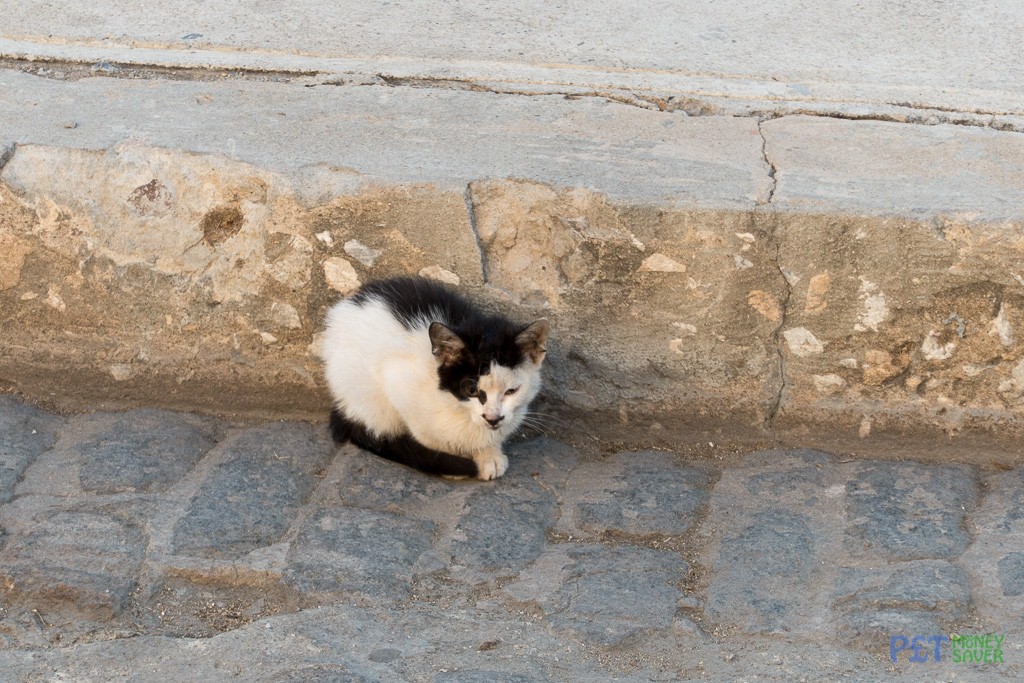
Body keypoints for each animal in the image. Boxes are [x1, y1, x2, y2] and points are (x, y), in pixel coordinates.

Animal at [323, 276, 548, 481]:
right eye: (471, 390)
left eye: (511, 391)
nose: (493, 418)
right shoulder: (396, 380)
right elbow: (427, 436)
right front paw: (461, 460)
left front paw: (488, 453)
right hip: (359, 389)